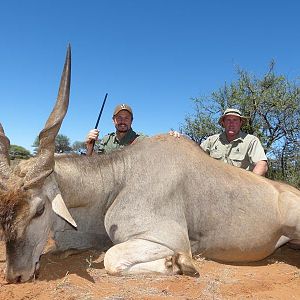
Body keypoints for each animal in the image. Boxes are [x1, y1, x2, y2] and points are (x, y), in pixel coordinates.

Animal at [0, 47, 300, 284]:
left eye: (40, 210)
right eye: (4, 212)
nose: (16, 275)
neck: (119, 177)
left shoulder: (169, 239)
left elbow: (112, 258)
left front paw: (179, 264)